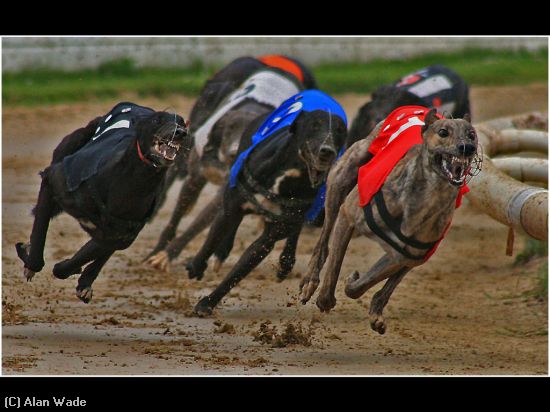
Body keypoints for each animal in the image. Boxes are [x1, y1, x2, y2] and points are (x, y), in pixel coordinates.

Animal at [15, 102, 189, 303]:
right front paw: (30, 262)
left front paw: (79, 277)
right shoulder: (53, 180)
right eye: (157, 120)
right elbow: (39, 238)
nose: (180, 132)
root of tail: (135, 105)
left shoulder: (123, 233)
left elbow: (88, 255)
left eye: (182, 122)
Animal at [145, 59, 316, 270]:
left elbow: (199, 224)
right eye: (230, 128)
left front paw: (168, 254)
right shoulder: (197, 175)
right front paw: (158, 251)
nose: (234, 152)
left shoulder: (229, 189)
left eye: (251, 133)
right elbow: (177, 217)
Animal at [184, 90, 348, 316]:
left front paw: (208, 302)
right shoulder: (232, 204)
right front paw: (197, 265)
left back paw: (285, 262)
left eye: (340, 131)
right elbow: (215, 234)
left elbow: (242, 267)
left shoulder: (271, 235)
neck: (291, 175)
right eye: (315, 125)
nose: (327, 150)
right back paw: (221, 252)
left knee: (295, 229)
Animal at [299, 105, 480, 334]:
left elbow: (366, 286)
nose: (467, 148)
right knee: (323, 243)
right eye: (443, 132)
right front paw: (325, 299)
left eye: (472, 134)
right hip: (341, 179)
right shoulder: (348, 215)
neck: (423, 199)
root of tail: (416, 107)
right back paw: (309, 281)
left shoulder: (406, 256)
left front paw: (357, 288)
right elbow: (334, 267)